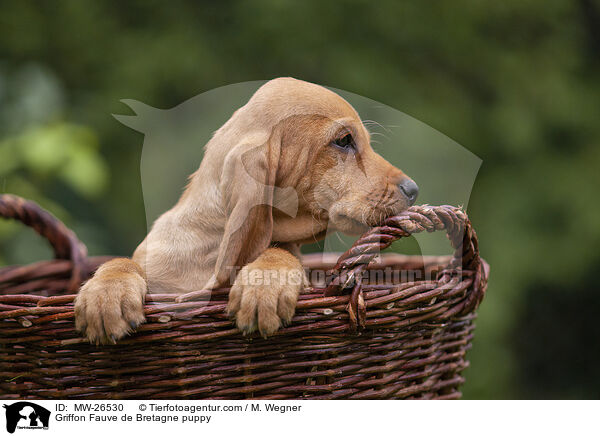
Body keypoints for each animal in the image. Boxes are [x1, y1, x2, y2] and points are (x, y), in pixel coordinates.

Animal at [74, 78, 418, 344]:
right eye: (344, 140)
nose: (413, 190)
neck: (212, 247)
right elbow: (123, 262)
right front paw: (107, 294)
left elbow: (278, 252)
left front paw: (264, 286)